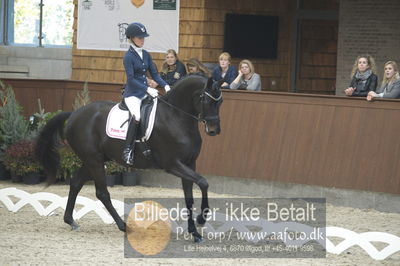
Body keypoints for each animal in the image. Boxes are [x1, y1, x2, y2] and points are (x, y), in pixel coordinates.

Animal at [36, 76, 223, 242]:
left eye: (220, 102)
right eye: (207, 100)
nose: (214, 130)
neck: (176, 117)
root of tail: (74, 114)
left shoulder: (189, 163)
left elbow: (190, 197)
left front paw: (195, 232)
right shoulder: (173, 165)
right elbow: (204, 182)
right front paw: (202, 219)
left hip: (93, 160)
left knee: (75, 182)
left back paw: (70, 220)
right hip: (94, 161)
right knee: (102, 193)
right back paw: (124, 226)